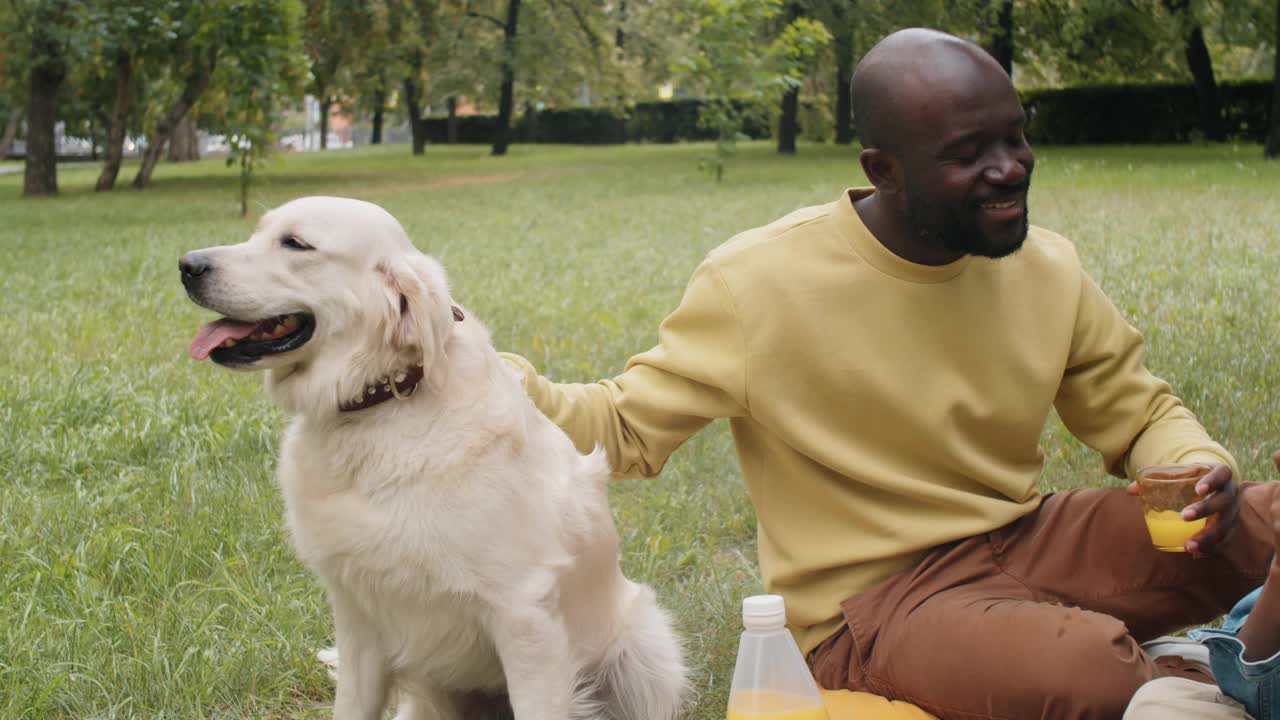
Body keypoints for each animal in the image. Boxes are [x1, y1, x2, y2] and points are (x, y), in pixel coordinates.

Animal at [180, 196, 691, 717]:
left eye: (296, 244)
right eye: (257, 232)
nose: (187, 265)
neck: (381, 406)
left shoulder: (525, 617)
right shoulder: (358, 620)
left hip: (648, 653)